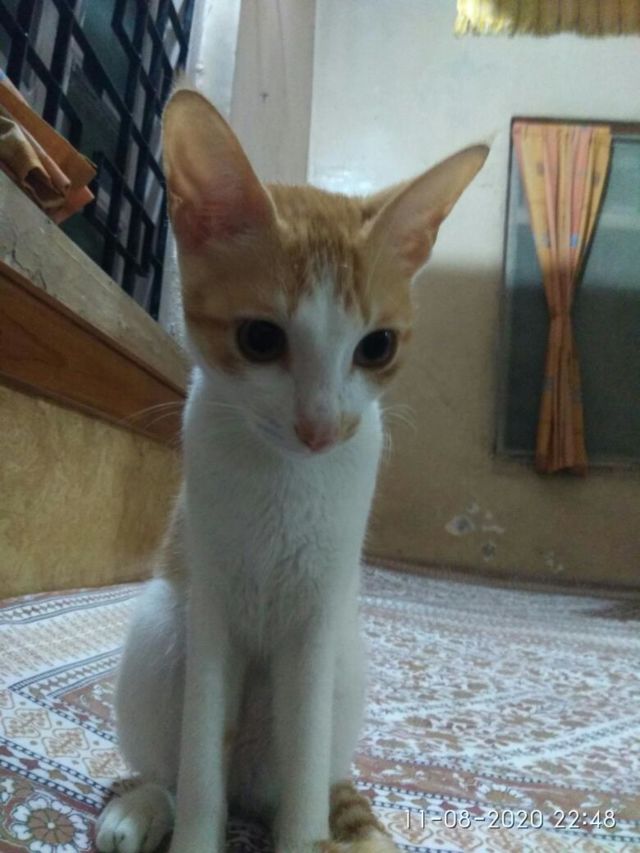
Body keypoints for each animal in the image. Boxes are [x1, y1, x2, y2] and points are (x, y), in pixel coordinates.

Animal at [95, 83, 487, 853]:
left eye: (377, 346)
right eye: (260, 338)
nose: (320, 427)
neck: (284, 478)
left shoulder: (315, 620)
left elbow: (304, 771)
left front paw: (305, 836)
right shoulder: (212, 610)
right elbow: (200, 766)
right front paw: (193, 834)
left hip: (345, 659)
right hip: (160, 628)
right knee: (175, 768)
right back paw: (141, 809)